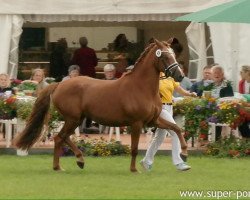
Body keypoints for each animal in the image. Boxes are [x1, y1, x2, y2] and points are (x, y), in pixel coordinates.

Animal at [15, 38, 188, 172]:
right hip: (73, 119)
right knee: (60, 138)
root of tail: (58, 85)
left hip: (76, 119)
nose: (180, 75)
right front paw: (134, 169)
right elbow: (134, 148)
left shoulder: (153, 120)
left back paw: (76, 161)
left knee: (62, 138)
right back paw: (63, 165)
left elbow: (176, 128)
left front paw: (184, 154)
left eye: (173, 54)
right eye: (164, 55)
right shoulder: (137, 123)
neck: (141, 88)